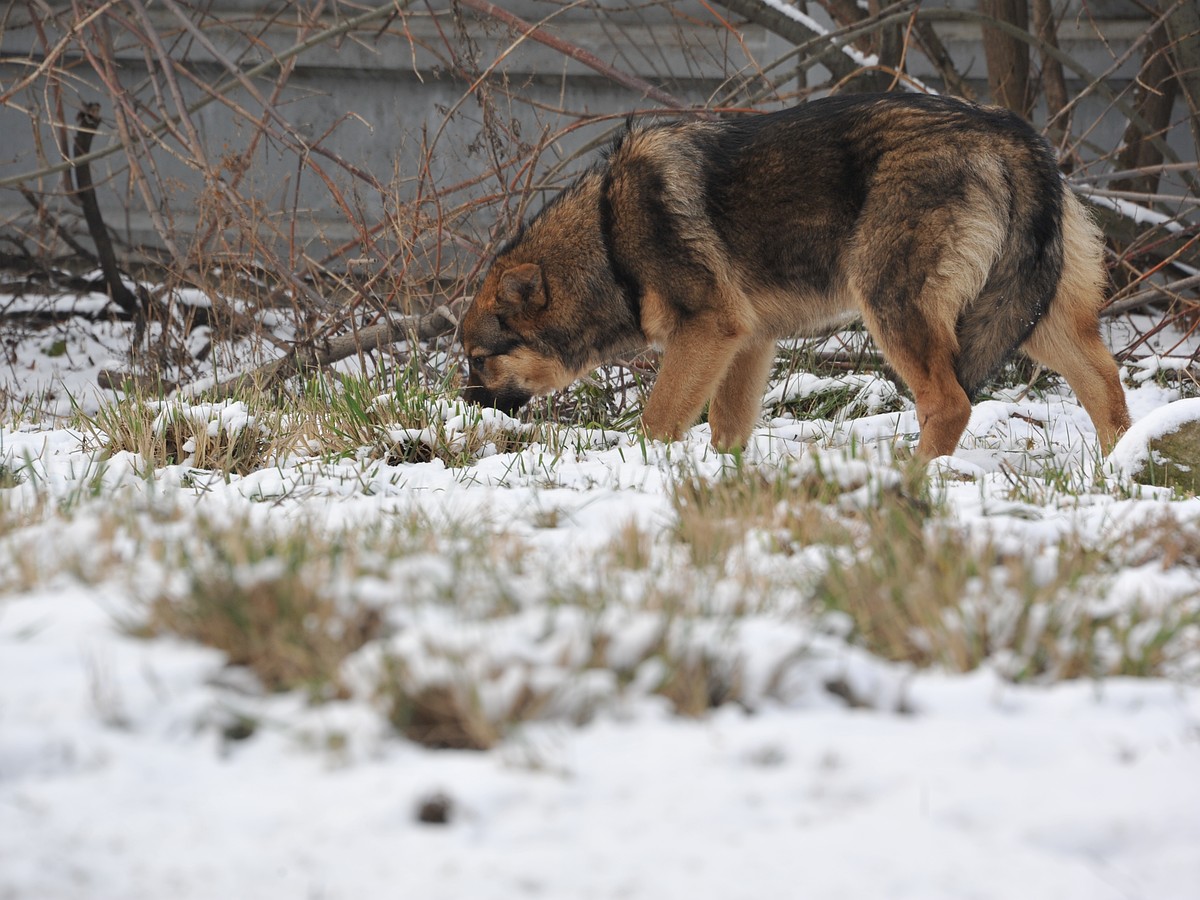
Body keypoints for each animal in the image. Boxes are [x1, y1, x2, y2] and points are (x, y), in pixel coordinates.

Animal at [456, 92, 1123, 460]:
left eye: (479, 359)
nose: (464, 405)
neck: (608, 237)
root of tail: (1013, 135)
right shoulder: (746, 340)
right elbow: (726, 428)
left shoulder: (708, 329)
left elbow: (658, 420)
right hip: (1033, 315)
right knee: (1106, 387)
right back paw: (1120, 471)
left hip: (893, 308)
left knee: (950, 404)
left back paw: (912, 479)